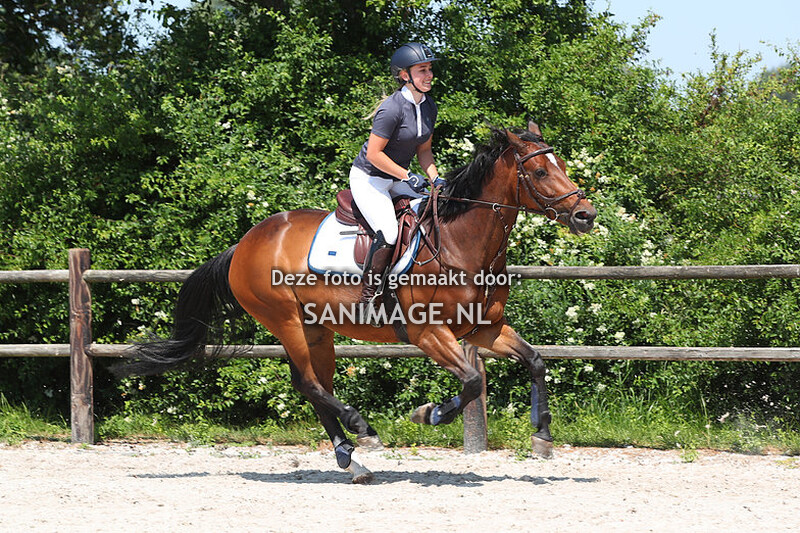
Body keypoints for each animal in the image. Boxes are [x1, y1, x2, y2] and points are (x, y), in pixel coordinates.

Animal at [118, 121, 597, 483]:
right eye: (540, 173)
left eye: (562, 165)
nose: (585, 215)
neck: (460, 241)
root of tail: (243, 244)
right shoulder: (427, 332)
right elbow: (473, 382)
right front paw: (429, 414)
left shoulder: (484, 328)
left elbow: (535, 361)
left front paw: (542, 437)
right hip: (287, 321)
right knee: (308, 384)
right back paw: (362, 430)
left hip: (316, 329)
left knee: (317, 386)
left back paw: (351, 458)